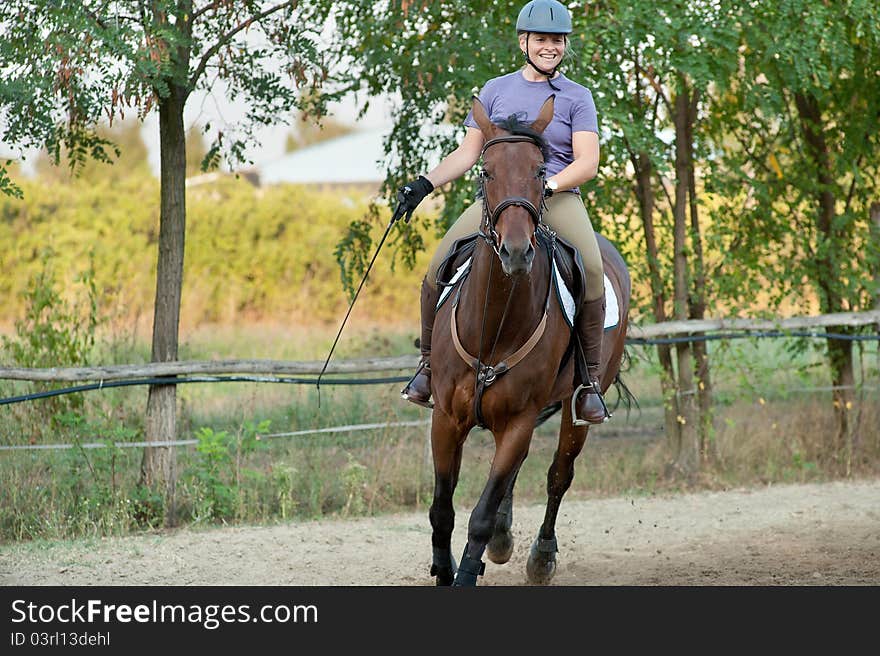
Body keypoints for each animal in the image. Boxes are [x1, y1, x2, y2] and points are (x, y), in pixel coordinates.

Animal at [428, 96, 628, 584]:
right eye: (486, 171)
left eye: (541, 171)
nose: (516, 251)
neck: (494, 327)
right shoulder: (445, 418)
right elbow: (442, 510)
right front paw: (445, 567)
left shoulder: (519, 421)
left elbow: (479, 515)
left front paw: (470, 567)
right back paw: (504, 541)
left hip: (577, 410)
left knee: (559, 475)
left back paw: (541, 556)